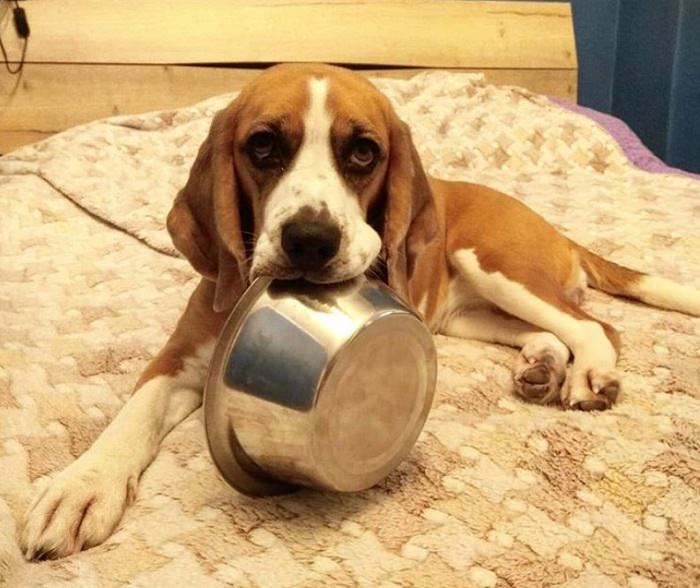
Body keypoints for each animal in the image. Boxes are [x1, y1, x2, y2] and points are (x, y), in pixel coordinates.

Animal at [19, 64, 696, 560]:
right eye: (262, 146)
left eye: (364, 153)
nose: (310, 240)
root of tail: (554, 228)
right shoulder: (177, 360)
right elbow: (131, 416)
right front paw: (83, 485)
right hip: (465, 315)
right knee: (550, 330)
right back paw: (543, 366)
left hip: (494, 262)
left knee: (595, 325)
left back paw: (588, 374)